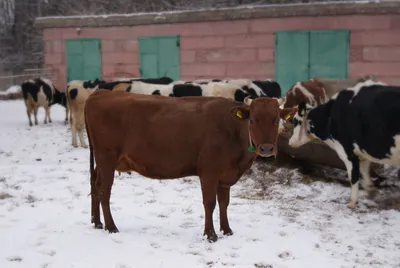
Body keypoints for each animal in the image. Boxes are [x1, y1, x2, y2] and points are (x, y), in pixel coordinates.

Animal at [85, 90, 296, 243]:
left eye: (276, 120)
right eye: (252, 120)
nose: (267, 148)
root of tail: (101, 93)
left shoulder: (225, 175)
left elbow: (224, 203)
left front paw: (227, 230)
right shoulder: (209, 171)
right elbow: (210, 203)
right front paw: (210, 235)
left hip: (102, 162)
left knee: (95, 185)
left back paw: (97, 222)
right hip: (107, 158)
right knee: (104, 190)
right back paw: (111, 226)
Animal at [288, 78, 396, 208]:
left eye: (295, 121)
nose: (290, 142)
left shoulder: (348, 151)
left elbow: (353, 176)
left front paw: (352, 202)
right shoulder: (362, 152)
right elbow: (365, 173)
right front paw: (370, 192)